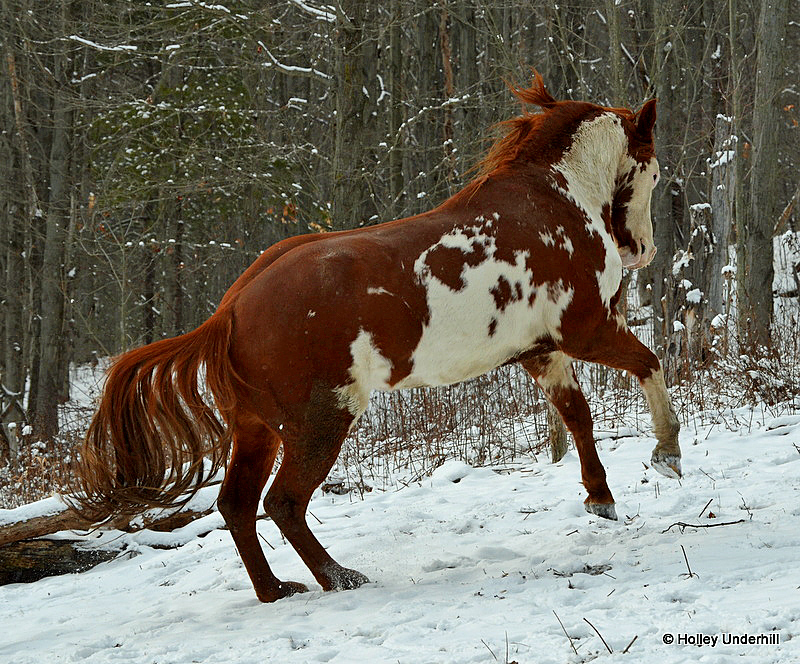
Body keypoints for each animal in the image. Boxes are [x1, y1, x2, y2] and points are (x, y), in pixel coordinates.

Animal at [72, 71, 680, 600]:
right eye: (653, 173)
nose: (642, 250)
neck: (554, 198)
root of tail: (229, 311)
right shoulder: (586, 329)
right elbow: (649, 364)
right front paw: (667, 452)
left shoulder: (540, 350)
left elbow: (578, 414)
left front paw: (600, 498)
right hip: (320, 421)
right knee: (284, 503)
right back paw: (340, 577)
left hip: (256, 428)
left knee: (237, 506)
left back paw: (276, 590)